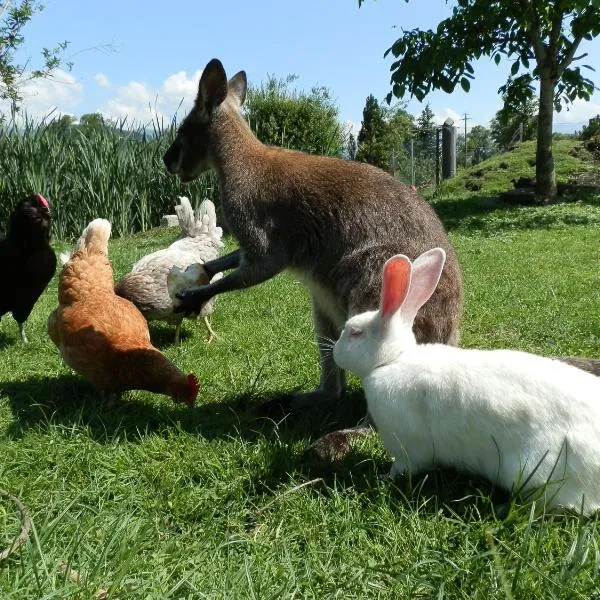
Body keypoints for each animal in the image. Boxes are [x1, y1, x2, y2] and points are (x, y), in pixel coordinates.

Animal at [336, 248, 600, 516]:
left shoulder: (408, 448)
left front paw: (384, 477)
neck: (393, 360)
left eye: (355, 332)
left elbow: (403, 467)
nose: (335, 351)